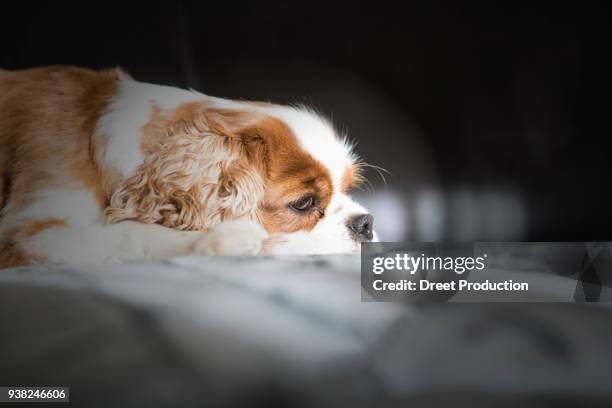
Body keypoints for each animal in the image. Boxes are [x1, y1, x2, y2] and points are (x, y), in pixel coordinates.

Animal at [0, 65, 376, 266]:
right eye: (304, 203)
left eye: (348, 189)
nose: (366, 223)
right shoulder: (27, 236)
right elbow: (127, 234)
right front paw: (222, 239)